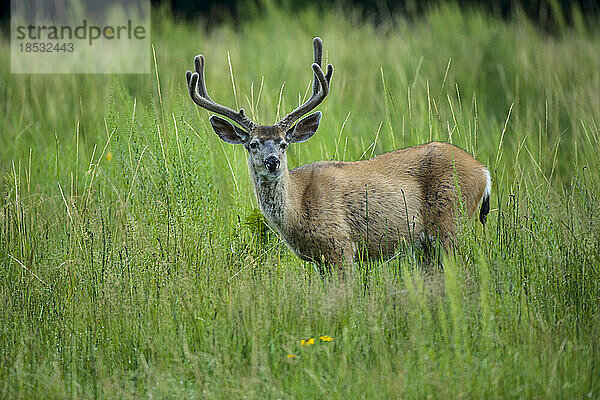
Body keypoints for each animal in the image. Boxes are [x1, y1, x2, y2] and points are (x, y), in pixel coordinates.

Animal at [185, 37, 490, 268]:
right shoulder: (319, 261)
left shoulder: (340, 246)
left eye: (284, 143)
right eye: (253, 144)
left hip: (450, 223)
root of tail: (483, 172)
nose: (272, 162)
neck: (299, 207)